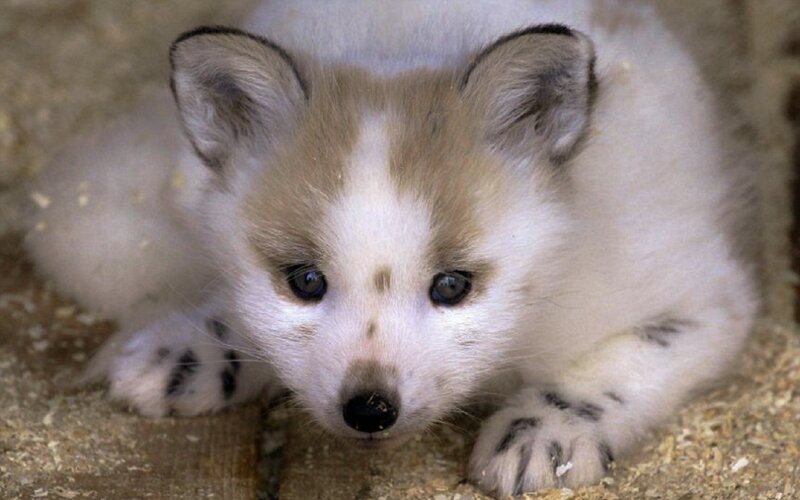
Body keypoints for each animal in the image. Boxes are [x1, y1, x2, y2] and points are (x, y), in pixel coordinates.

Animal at [19, 0, 758, 495]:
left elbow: (620, 364)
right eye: (304, 281)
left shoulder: (710, 298)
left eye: (453, 286)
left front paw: (541, 432)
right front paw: (195, 347)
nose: (369, 410)